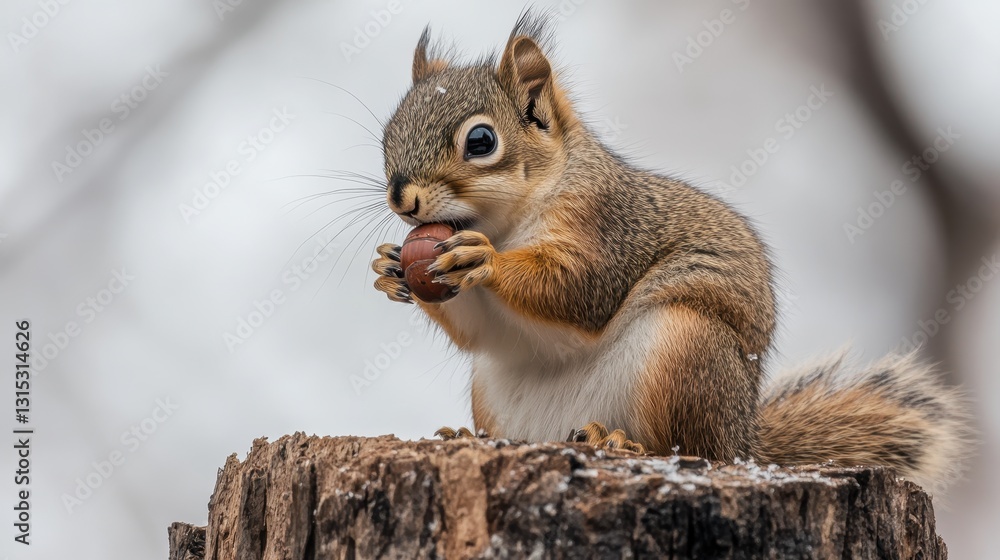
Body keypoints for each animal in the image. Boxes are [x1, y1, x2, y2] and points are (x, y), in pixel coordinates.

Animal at [369, 14, 970, 493]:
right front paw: (390, 269)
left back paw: (620, 443)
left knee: (685, 446)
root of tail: (742, 442)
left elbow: (578, 288)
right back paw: (468, 433)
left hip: (683, 352)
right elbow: (480, 330)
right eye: (387, 134)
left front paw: (485, 261)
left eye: (481, 141)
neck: (509, 221)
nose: (403, 198)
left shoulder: (608, 225)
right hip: (494, 392)